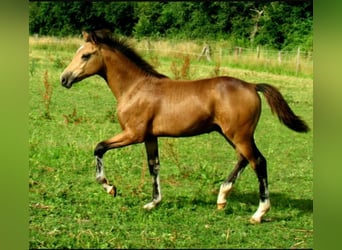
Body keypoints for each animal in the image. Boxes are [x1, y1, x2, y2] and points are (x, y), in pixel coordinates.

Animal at [60, 29, 308, 223]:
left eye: (85, 55)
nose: (64, 79)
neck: (136, 87)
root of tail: (251, 85)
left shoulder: (133, 134)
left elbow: (99, 147)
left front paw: (109, 187)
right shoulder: (150, 137)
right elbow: (154, 166)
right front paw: (153, 203)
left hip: (239, 135)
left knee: (258, 161)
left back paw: (258, 213)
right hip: (232, 134)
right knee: (244, 159)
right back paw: (222, 198)